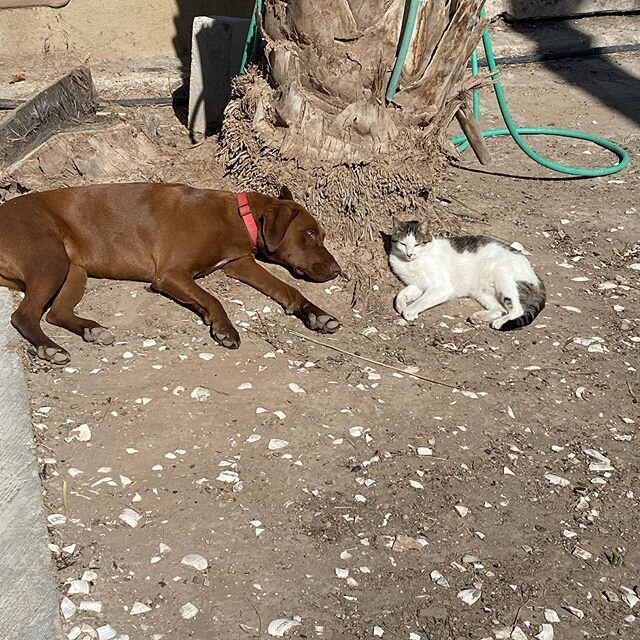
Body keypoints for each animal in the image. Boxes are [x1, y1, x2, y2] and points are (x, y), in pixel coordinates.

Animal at [0, 182, 342, 362]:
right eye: (310, 233)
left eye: (321, 234)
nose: (338, 270)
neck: (237, 217)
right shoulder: (170, 274)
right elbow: (213, 299)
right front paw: (223, 328)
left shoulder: (240, 264)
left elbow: (288, 289)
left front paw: (316, 313)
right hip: (49, 261)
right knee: (24, 315)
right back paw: (49, 347)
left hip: (74, 270)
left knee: (56, 313)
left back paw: (91, 330)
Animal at [390, 220, 544, 330]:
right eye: (403, 244)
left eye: (417, 245)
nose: (409, 254)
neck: (411, 263)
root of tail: (535, 275)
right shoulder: (417, 285)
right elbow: (401, 294)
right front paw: (401, 305)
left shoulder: (441, 288)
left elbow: (422, 300)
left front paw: (410, 310)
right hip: (483, 294)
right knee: (501, 309)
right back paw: (479, 317)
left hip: (504, 281)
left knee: (517, 310)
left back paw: (499, 322)